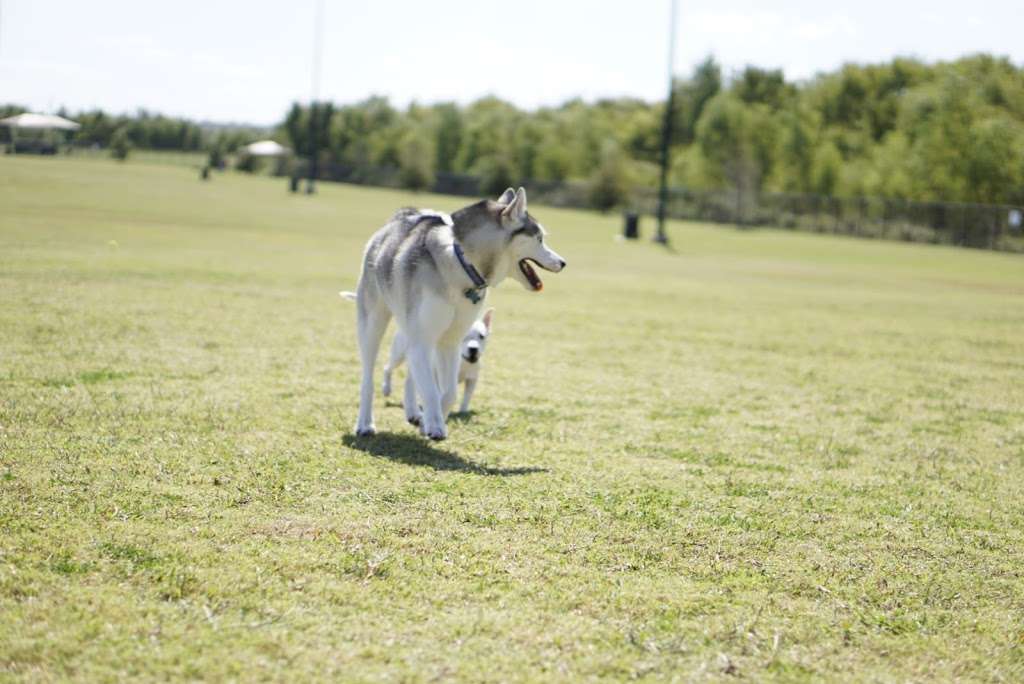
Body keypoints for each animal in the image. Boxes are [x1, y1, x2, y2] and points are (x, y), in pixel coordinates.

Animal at [348, 187, 565, 440]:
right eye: (539, 239)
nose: (563, 263)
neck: (464, 265)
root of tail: (398, 217)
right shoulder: (423, 340)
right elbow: (431, 390)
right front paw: (435, 427)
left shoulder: (450, 342)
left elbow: (449, 392)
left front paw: (428, 421)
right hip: (373, 324)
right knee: (368, 378)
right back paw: (365, 423)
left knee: (412, 377)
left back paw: (413, 412)